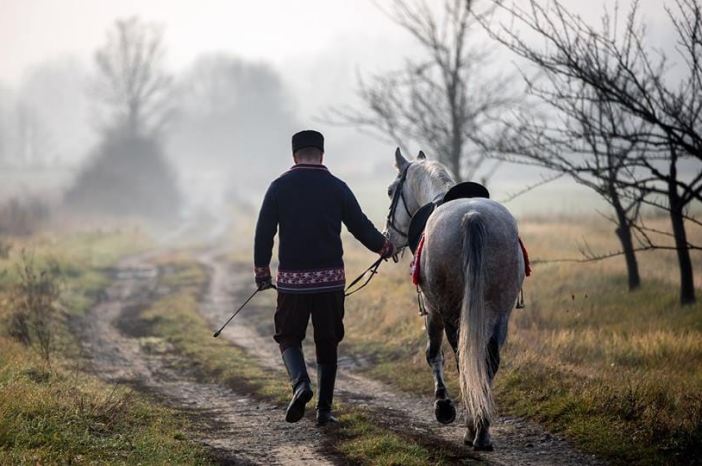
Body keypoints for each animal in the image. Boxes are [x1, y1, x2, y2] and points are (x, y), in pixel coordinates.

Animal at [384, 149, 528, 452]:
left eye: (391, 191)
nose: (387, 238)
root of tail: (473, 217)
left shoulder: (433, 310)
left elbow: (433, 353)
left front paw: (443, 406)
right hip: (500, 314)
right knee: (488, 360)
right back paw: (481, 429)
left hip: (452, 312)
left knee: (463, 360)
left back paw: (473, 428)